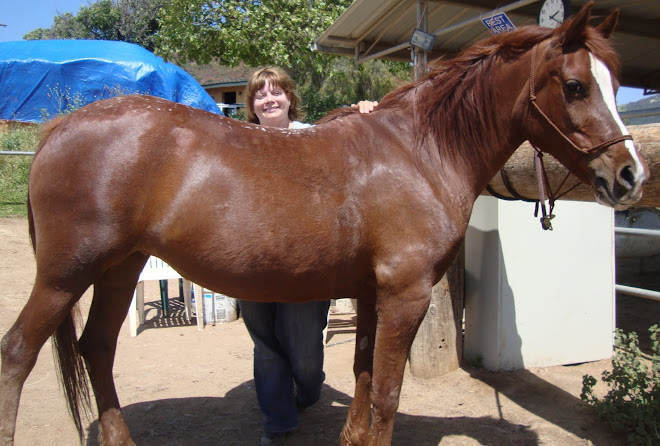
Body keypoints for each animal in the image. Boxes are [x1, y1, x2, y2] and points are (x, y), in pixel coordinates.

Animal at [0, 4, 648, 446]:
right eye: (574, 85)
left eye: (617, 84)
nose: (629, 175)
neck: (419, 151)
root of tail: (59, 128)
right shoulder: (405, 293)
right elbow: (386, 390)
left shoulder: (368, 293)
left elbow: (361, 374)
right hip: (64, 276)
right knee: (17, 354)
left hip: (118, 269)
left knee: (96, 348)